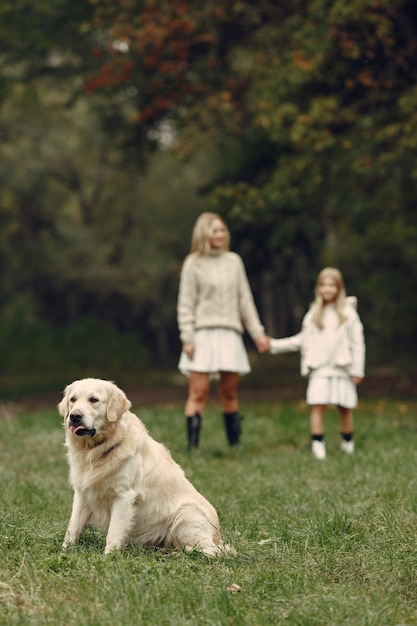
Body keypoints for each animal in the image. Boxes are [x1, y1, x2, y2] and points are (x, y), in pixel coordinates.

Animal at [58, 378, 229, 552]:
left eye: (94, 400)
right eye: (73, 399)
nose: (74, 416)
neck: (97, 450)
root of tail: (218, 536)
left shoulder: (124, 496)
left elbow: (113, 533)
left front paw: (109, 556)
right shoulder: (82, 494)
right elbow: (73, 527)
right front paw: (63, 551)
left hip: (186, 513)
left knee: (212, 551)